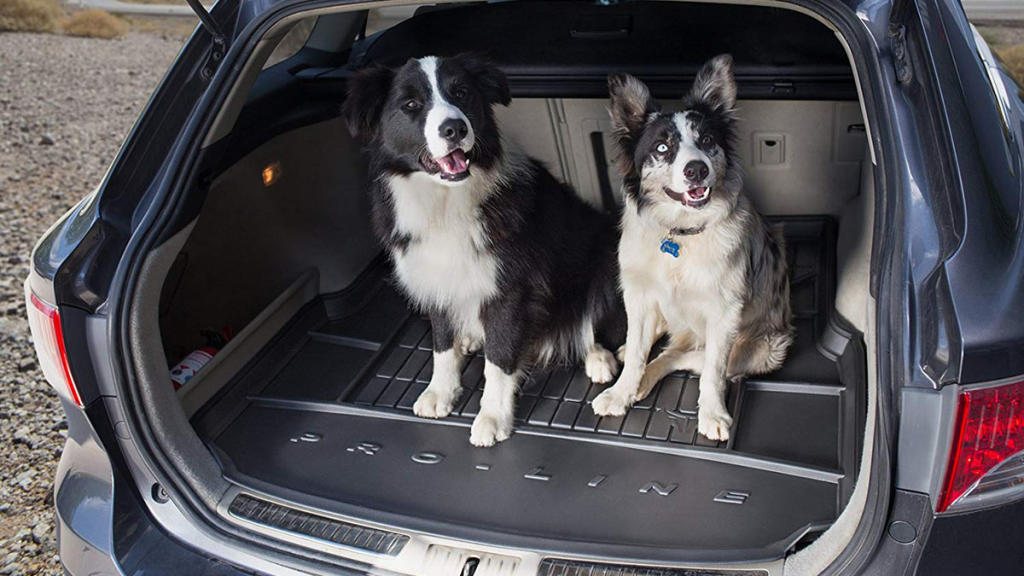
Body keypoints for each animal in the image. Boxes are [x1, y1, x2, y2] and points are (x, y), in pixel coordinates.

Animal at [344, 54, 618, 444]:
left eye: (461, 93)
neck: (445, 202)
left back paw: (598, 358)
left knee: (590, 320)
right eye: (410, 104)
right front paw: (440, 392)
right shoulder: (435, 278)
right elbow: (441, 344)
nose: (454, 129)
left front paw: (492, 416)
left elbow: (499, 360)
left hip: (602, 257)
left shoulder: (510, 291)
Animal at [598, 54, 794, 438]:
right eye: (662, 147)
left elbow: (713, 372)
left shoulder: (725, 312)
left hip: (765, 350)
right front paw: (620, 393)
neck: (681, 234)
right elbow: (639, 346)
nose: (696, 170)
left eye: (706, 140)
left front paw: (713, 414)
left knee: (681, 356)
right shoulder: (639, 294)